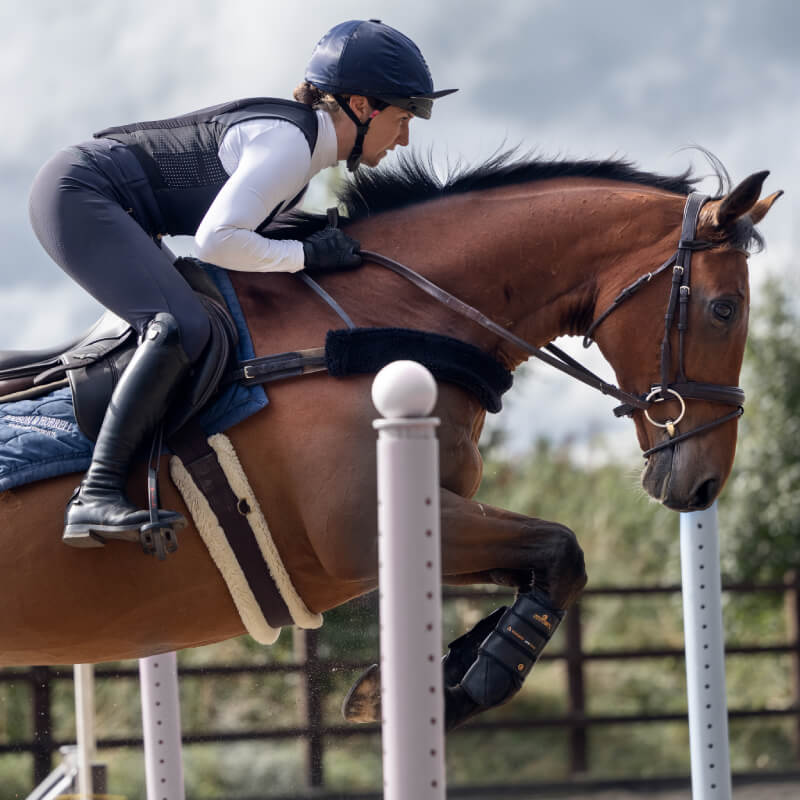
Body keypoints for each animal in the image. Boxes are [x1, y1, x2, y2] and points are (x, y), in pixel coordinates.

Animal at [0, 151, 780, 727]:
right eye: (723, 308)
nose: (704, 482)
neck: (386, 317)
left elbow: (553, 562)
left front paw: (440, 673)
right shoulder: (356, 531)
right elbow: (561, 549)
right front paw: (466, 682)